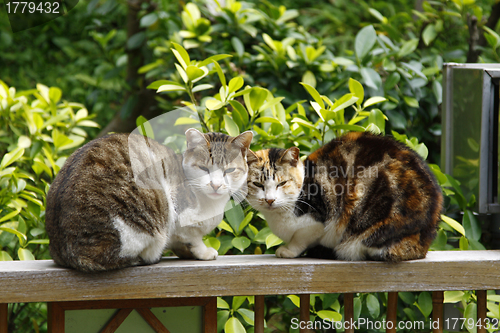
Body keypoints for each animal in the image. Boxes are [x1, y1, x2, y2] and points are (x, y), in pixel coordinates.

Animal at [45, 128, 252, 272]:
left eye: (229, 171)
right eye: (203, 168)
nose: (216, 185)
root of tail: (69, 252)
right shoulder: (181, 218)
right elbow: (193, 238)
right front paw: (204, 252)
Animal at [246, 131, 442, 260]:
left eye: (282, 183)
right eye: (258, 185)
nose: (269, 200)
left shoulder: (317, 221)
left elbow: (300, 238)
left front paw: (288, 251)